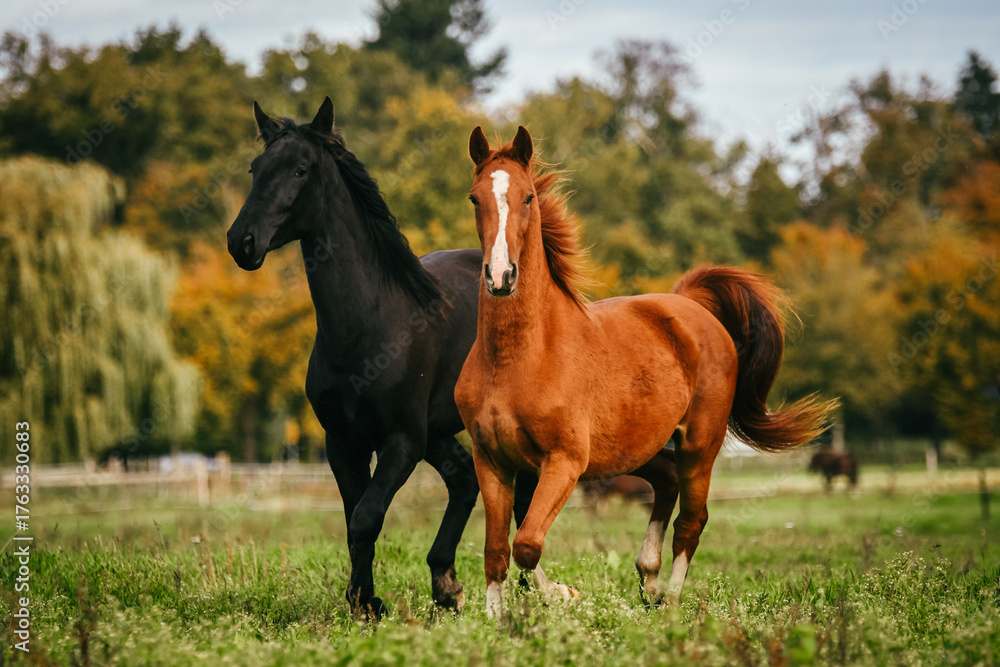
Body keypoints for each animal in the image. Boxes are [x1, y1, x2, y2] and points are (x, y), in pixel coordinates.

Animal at [226, 97, 542, 619]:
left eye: (300, 169)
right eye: (255, 168)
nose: (242, 242)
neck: (367, 329)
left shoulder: (401, 442)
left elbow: (366, 517)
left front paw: (366, 603)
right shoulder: (344, 443)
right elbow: (355, 520)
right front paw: (364, 601)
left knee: (522, 494)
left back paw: (524, 590)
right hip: (438, 431)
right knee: (463, 480)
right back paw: (445, 583)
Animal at [454, 126, 835, 618]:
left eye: (529, 197)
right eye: (475, 197)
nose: (500, 277)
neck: (519, 360)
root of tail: (690, 304)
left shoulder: (564, 462)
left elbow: (527, 545)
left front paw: (563, 594)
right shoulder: (492, 461)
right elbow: (497, 551)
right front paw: (496, 620)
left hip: (699, 443)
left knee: (692, 520)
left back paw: (669, 599)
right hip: (637, 448)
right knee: (667, 480)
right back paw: (648, 577)